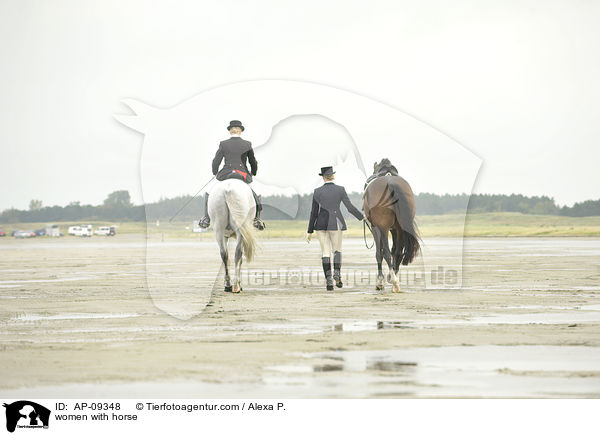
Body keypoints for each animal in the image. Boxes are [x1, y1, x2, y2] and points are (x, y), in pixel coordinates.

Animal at [364, 158, 420, 292]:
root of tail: (390, 182)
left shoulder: (376, 228)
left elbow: (379, 253)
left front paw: (380, 281)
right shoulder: (394, 229)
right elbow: (395, 251)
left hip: (383, 228)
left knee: (386, 252)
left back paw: (393, 280)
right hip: (400, 228)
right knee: (398, 252)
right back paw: (395, 281)